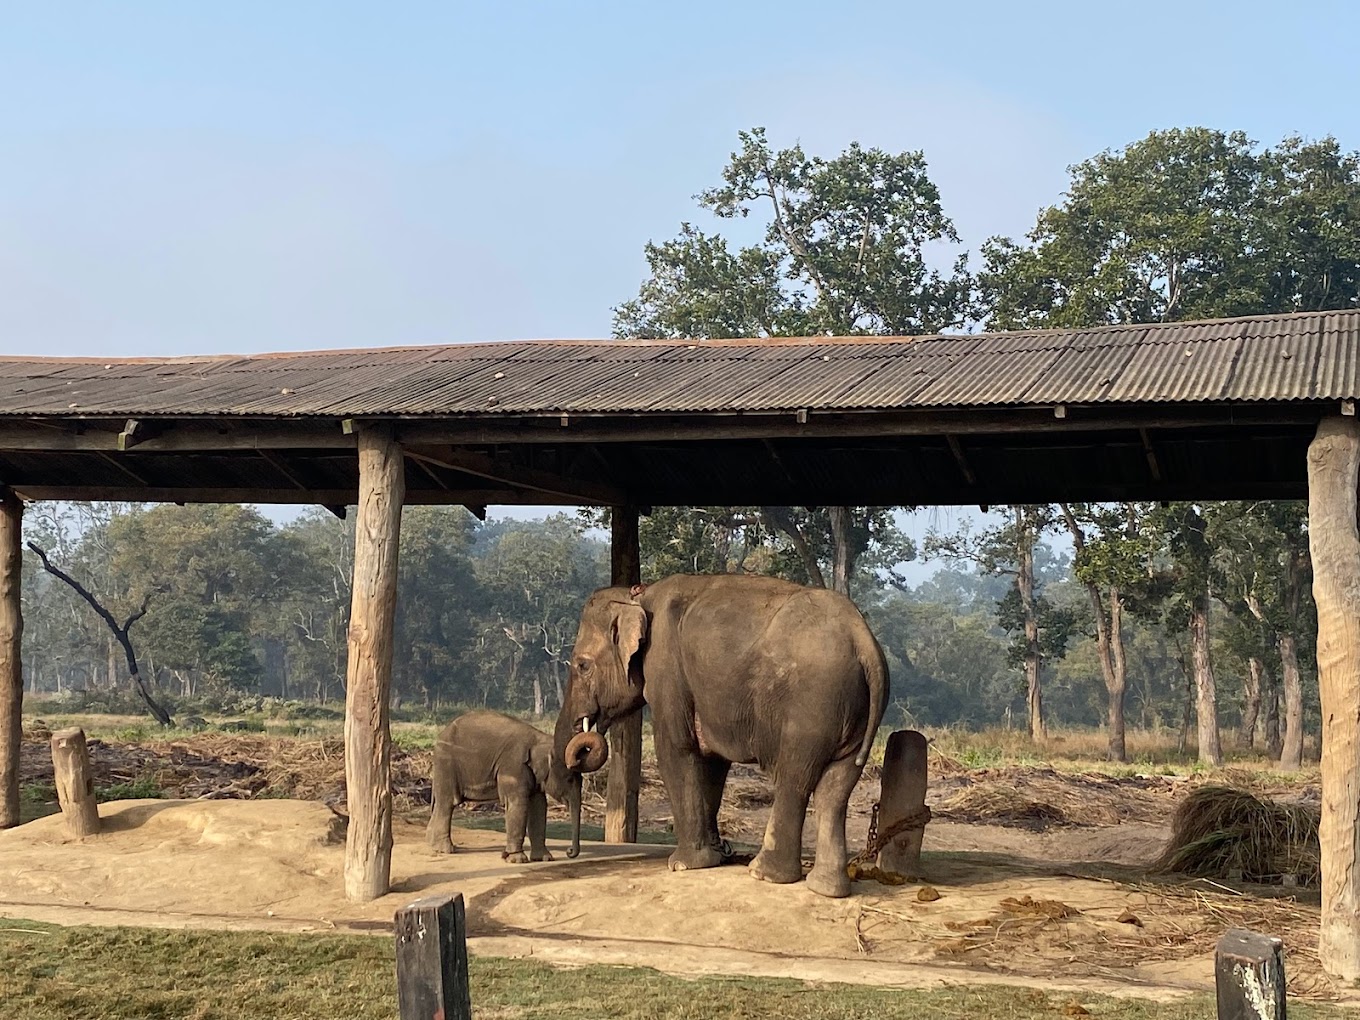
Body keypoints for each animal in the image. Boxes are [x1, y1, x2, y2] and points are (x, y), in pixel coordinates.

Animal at [424, 712, 579, 864]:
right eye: (570, 779)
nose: (569, 851)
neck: (540, 739)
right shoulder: (513, 766)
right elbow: (518, 803)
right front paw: (517, 860)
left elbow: (539, 805)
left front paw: (544, 858)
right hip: (447, 764)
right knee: (447, 802)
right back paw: (445, 849)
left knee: (440, 803)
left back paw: (433, 845)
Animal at [554, 576, 892, 903]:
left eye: (582, 665)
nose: (582, 744)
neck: (637, 594)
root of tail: (863, 639)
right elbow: (713, 762)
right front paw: (715, 855)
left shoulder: (666, 670)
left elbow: (677, 748)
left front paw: (683, 864)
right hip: (854, 712)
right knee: (836, 788)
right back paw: (826, 888)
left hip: (811, 706)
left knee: (794, 779)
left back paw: (763, 873)